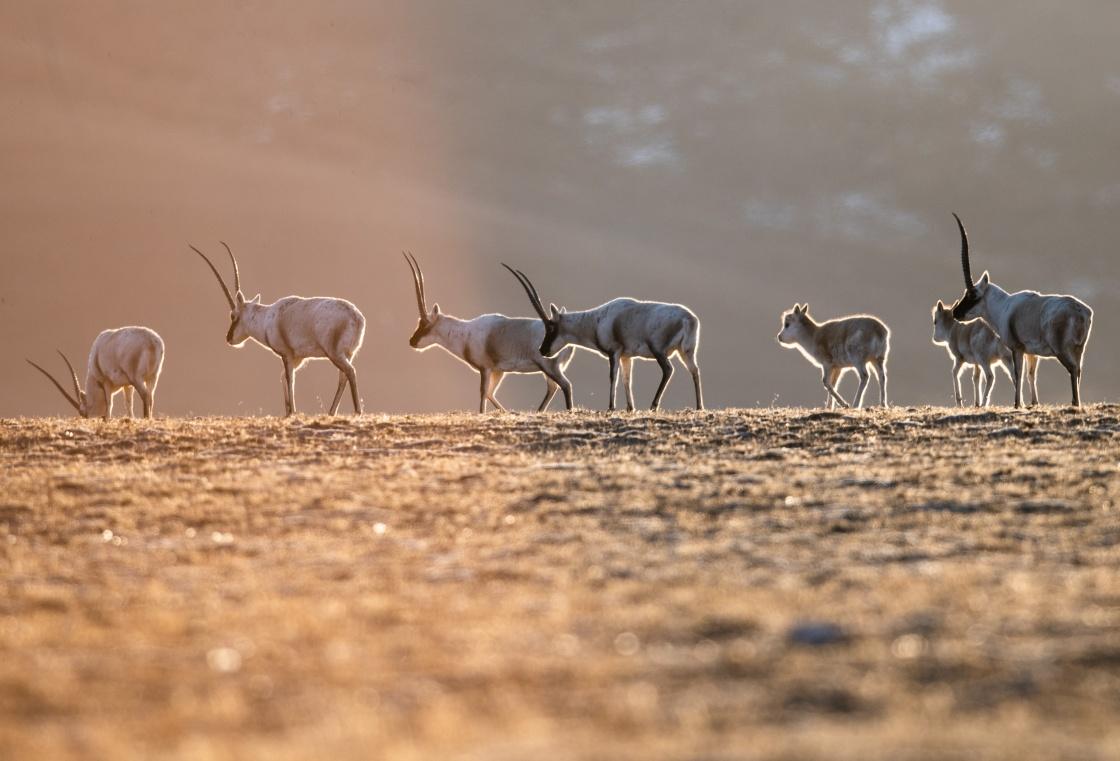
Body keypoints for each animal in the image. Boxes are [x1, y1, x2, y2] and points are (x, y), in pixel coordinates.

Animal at [26, 327, 163, 423]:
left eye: (83, 412)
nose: (88, 417)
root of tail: (152, 341)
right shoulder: (127, 385)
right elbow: (128, 403)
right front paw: (130, 418)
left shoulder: (106, 381)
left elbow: (109, 402)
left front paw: (107, 419)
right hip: (153, 377)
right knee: (151, 396)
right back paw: (149, 418)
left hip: (137, 378)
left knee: (145, 395)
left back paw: (146, 417)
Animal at [190, 242, 365, 416]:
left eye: (233, 315)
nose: (229, 338)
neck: (267, 318)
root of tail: (357, 317)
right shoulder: (297, 358)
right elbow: (283, 378)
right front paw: (287, 412)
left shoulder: (286, 354)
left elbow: (289, 378)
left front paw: (293, 412)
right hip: (348, 354)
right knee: (343, 377)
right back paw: (331, 412)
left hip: (334, 354)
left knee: (350, 372)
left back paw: (357, 411)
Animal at [403, 254, 573, 410]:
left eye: (425, 324)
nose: (412, 341)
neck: (465, 334)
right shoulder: (498, 370)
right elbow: (491, 394)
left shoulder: (485, 368)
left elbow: (483, 393)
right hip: (550, 369)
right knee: (553, 388)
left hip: (549, 366)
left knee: (565, 385)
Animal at [506, 266, 703, 410]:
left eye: (551, 327)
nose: (542, 350)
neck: (596, 320)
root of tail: (688, 318)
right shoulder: (626, 356)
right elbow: (626, 379)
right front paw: (629, 408)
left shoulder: (614, 352)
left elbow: (612, 377)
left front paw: (611, 407)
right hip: (686, 352)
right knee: (694, 370)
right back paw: (699, 407)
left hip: (659, 351)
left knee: (668, 370)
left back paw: (653, 406)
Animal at [945, 211, 1093, 407]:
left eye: (972, 295)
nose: (956, 313)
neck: (1004, 306)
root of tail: (1081, 311)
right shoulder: (1031, 353)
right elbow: (1031, 374)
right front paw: (1033, 403)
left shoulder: (1017, 348)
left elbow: (1018, 374)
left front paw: (1017, 404)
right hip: (1079, 350)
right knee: (1079, 370)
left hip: (1062, 350)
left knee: (1073, 369)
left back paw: (1075, 403)